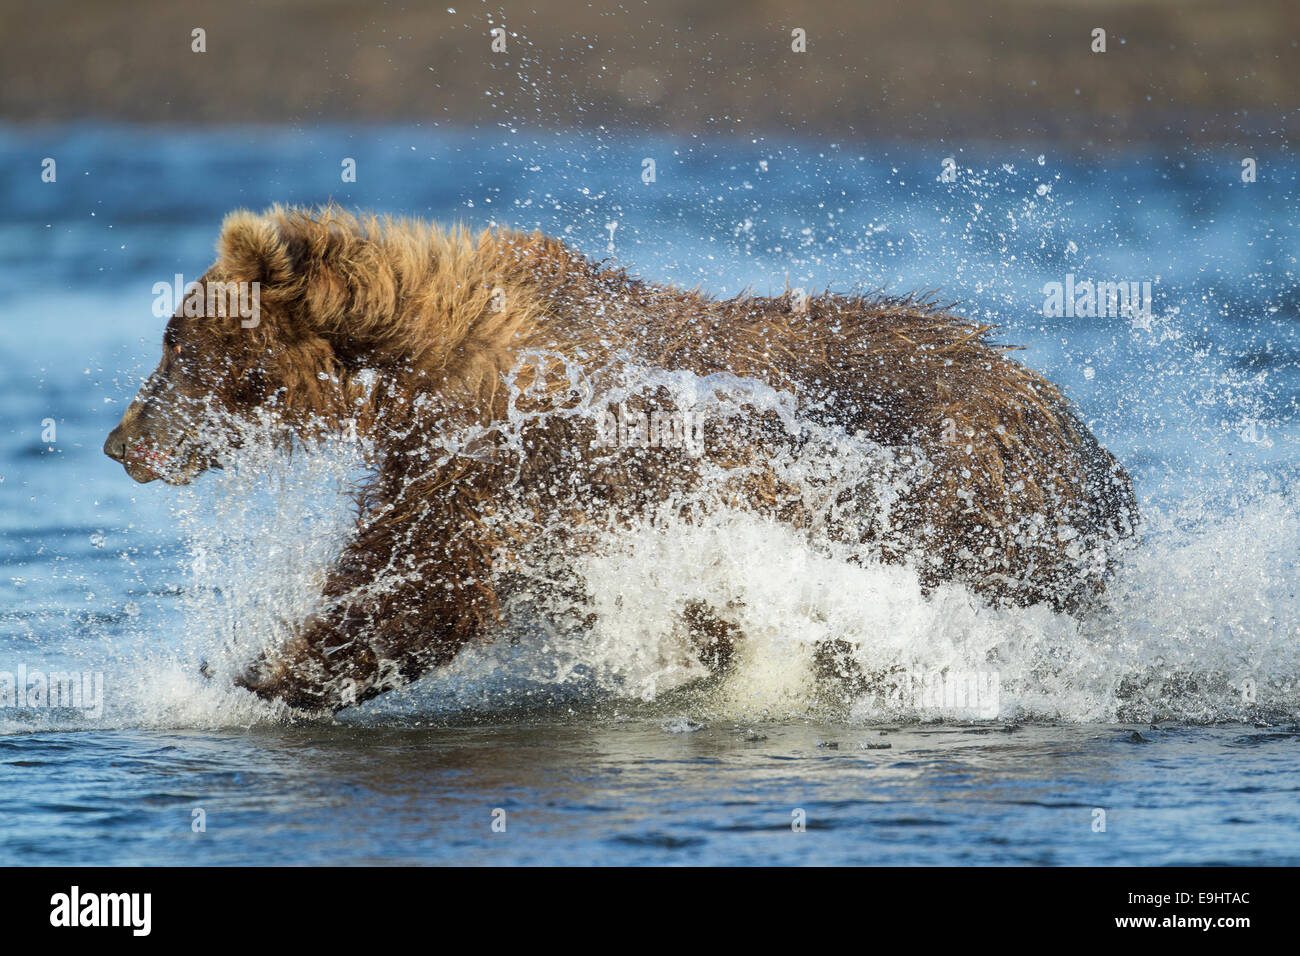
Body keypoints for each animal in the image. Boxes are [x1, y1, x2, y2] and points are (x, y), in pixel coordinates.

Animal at [104, 204, 1138, 712]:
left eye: (173, 338)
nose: (121, 443)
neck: (421, 365)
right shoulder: (446, 460)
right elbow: (395, 558)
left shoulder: (524, 461)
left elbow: (425, 581)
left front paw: (261, 672)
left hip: (954, 491)